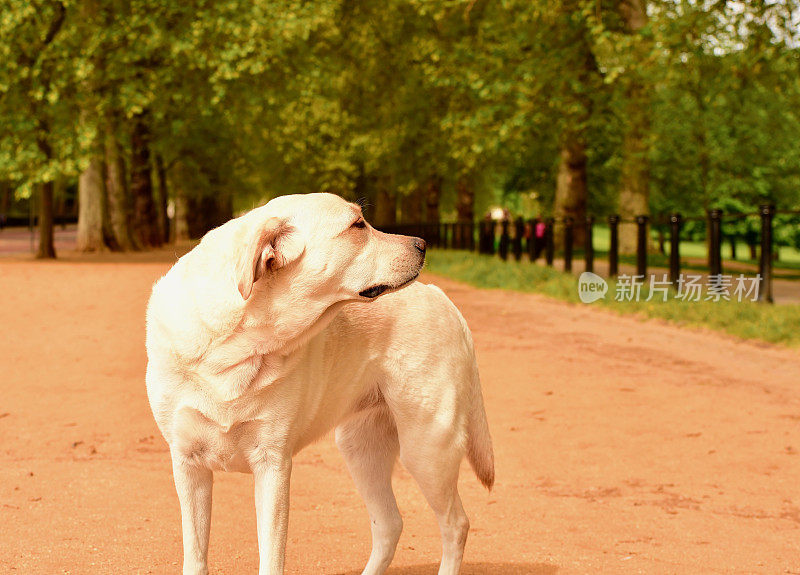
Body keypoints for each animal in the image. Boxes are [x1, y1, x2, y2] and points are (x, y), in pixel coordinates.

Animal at [145, 191, 494, 572]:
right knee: (390, 524)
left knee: (455, 524)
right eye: (357, 226)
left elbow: (271, 558)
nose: (423, 244)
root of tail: (442, 298)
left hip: (427, 448)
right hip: (361, 448)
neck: (234, 349)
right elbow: (195, 557)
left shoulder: (273, 464)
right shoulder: (187, 463)